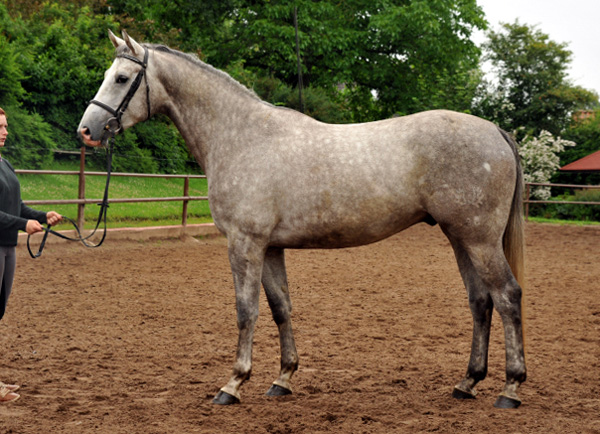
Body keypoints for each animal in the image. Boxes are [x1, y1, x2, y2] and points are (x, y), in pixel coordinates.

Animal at [78, 32, 524, 408]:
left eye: (121, 78)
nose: (86, 130)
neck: (242, 137)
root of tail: (496, 132)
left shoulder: (245, 242)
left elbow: (246, 310)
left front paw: (233, 383)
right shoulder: (271, 246)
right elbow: (281, 307)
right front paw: (283, 378)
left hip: (479, 239)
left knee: (507, 296)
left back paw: (511, 388)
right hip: (459, 237)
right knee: (480, 301)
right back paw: (467, 382)